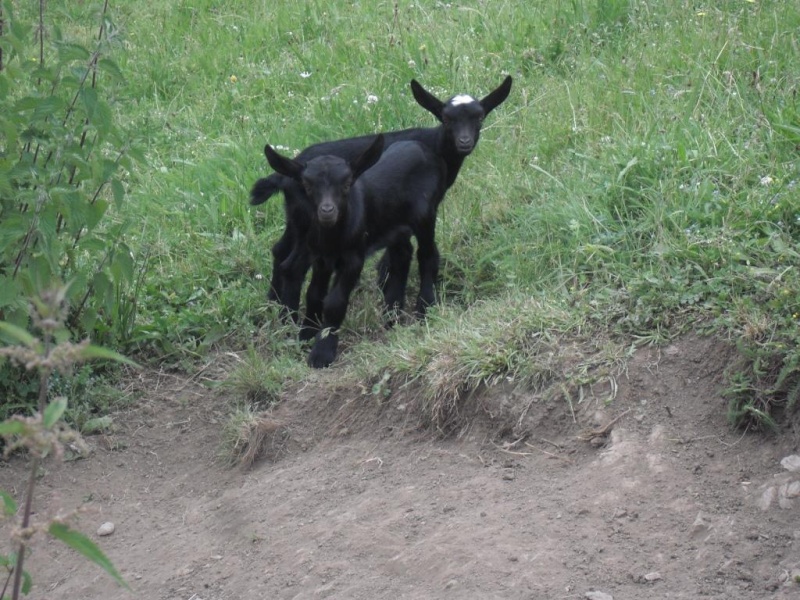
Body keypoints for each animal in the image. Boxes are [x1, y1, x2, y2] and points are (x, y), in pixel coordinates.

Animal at [250, 77, 512, 322]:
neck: (434, 145)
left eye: (479, 118)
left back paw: (272, 304)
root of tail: (285, 173)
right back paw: (289, 318)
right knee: (293, 266)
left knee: (280, 251)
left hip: (296, 220)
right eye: (446, 120)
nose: (464, 142)